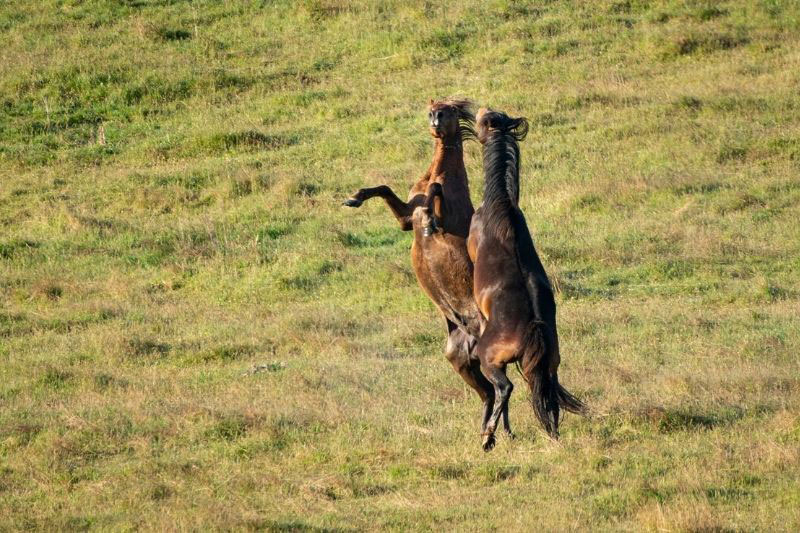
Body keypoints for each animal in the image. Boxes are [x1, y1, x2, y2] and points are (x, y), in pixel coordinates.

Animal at [344, 99, 514, 438]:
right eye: (432, 110)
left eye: (448, 111)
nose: (435, 120)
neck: (441, 170)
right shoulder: (405, 219)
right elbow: (385, 188)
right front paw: (353, 198)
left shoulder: (449, 218)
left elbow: (434, 192)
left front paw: (431, 222)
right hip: (459, 360)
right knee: (488, 393)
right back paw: (487, 431)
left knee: (502, 388)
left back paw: (498, 432)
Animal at [468, 108, 586, 451]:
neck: (501, 205)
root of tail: (534, 329)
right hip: (549, 365)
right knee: (546, 395)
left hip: (490, 360)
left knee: (504, 387)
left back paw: (488, 436)